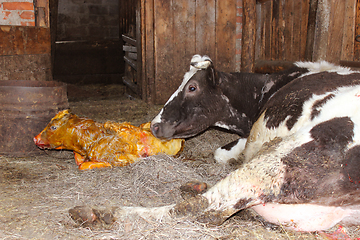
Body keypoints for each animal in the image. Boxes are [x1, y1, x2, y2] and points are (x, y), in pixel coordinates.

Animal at [69, 55, 360, 232]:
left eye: (192, 88)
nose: (154, 125)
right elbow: (221, 153)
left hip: (277, 163)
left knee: (204, 209)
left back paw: (99, 213)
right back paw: (193, 187)